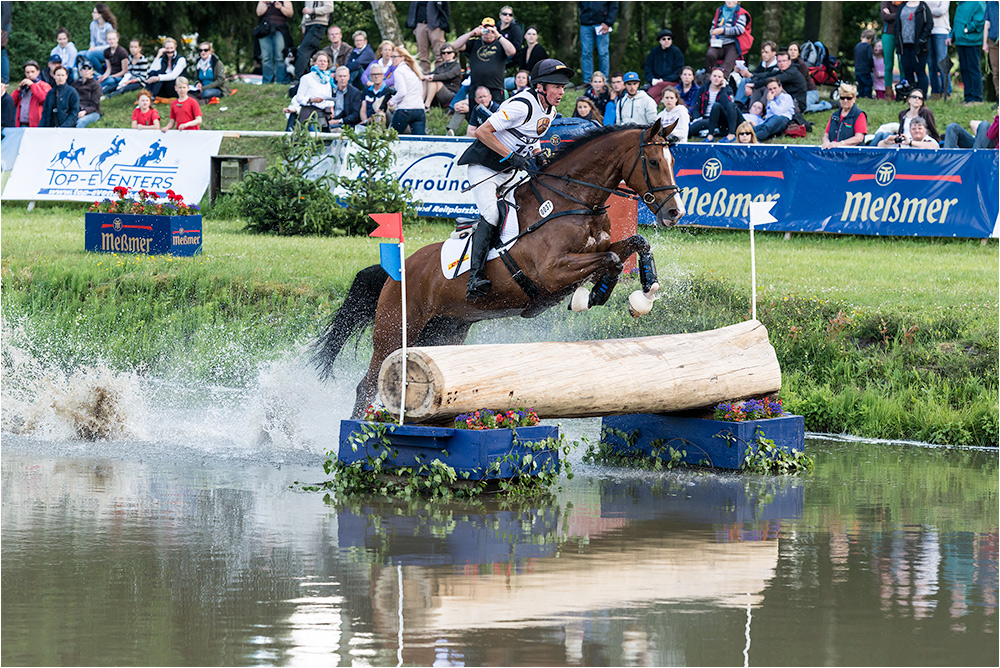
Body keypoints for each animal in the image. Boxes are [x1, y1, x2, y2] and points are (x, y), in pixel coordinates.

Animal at [316, 117, 684, 414]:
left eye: (672, 161)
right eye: (653, 161)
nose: (674, 212)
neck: (574, 201)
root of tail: (394, 273)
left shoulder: (598, 249)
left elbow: (635, 244)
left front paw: (642, 295)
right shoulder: (552, 271)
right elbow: (610, 260)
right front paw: (594, 295)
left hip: (443, 332)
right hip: (396, 331)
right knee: (367, 385)